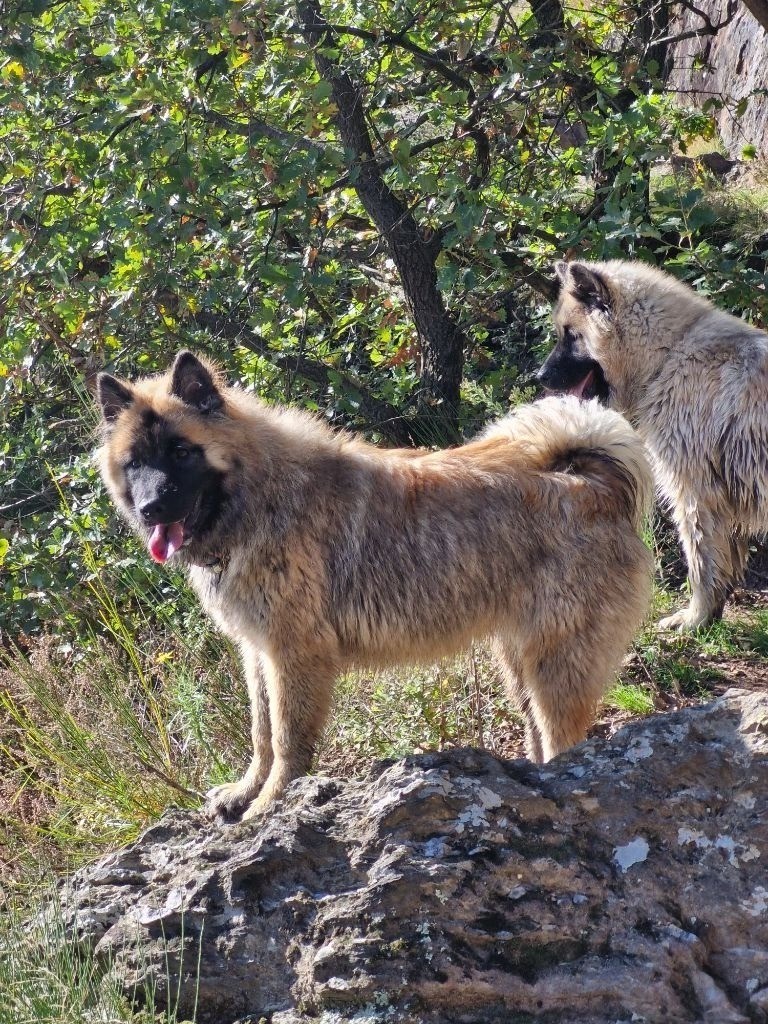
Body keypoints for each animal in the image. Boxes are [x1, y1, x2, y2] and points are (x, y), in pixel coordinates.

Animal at [93, 352, 651, 823]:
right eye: (135, 462)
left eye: (181, 451)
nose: (151, 509)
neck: (258, 493)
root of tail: (592, 482)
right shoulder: (259, 652)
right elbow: (262, 733)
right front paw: (247, 791)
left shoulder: (295, 652)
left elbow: (288, 740)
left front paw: (270, 805)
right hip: (520, 662)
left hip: (557, 662)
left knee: (566, 741)